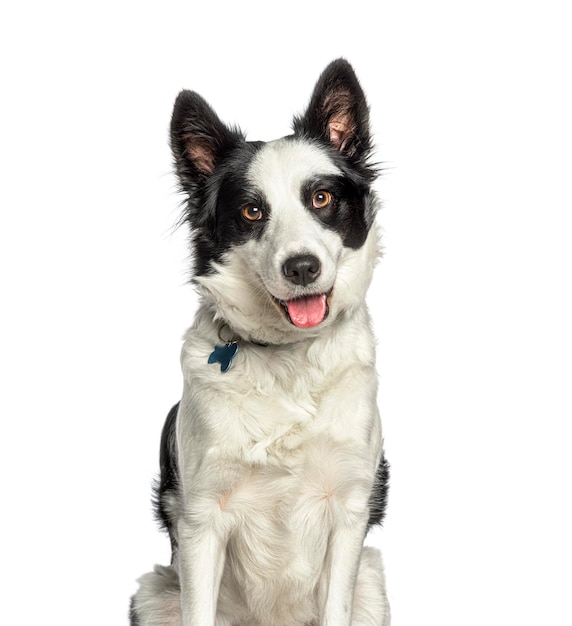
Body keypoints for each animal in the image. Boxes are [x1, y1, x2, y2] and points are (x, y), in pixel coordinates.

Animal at [130, 58, 392, 624]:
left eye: (321, 198)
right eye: (252, 212)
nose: (302, 267)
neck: (289, 358)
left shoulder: (348, 510)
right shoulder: (202, 518)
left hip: (372, 584)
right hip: (153, 592)